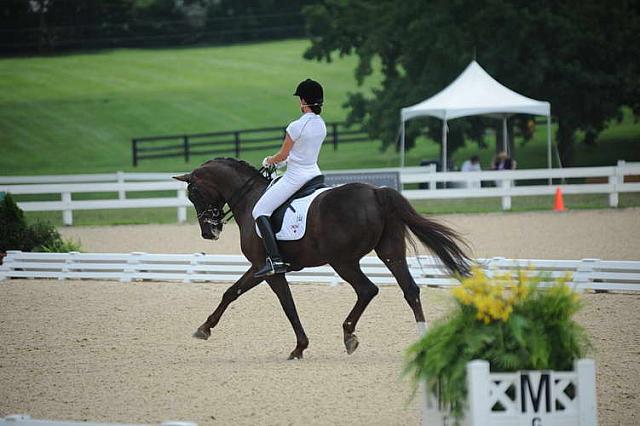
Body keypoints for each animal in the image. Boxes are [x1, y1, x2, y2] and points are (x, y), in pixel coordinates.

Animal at [174, 157, 470, 360]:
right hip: (390, 253)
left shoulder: (265, 268)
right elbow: (233, 293)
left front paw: (299, 347)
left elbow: (281, 304)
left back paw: (349, 335)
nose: (209, 232)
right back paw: (421, 340)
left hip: (343, 261)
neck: (249, 199)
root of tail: (376, 192)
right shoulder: (264, 269)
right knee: (409, 290)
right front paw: (205, 328)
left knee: (368, 289)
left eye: (195, 194)